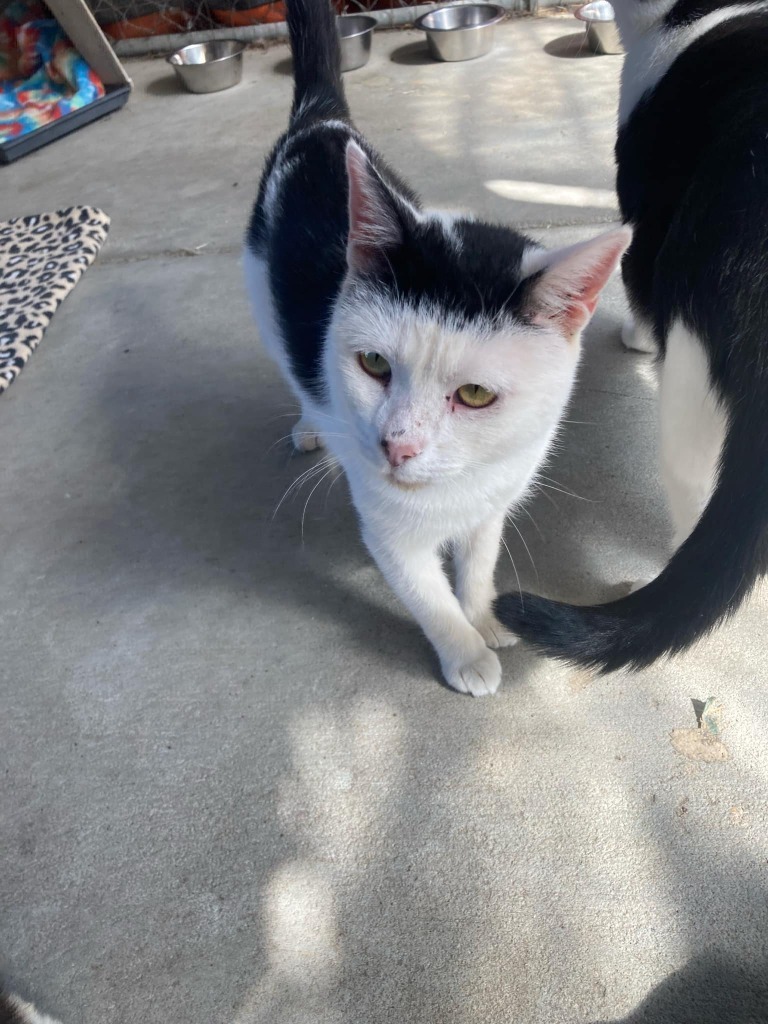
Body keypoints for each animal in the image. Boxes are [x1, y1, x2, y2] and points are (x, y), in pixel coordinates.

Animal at [246, 0, 630, 696]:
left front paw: (485, 617)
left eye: (475, 395)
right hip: (262, 298)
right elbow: (426, 594)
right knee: (294, 369)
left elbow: (477, 564)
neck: (456, 483)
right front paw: (465, 653)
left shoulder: (494, 500)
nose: (396, 447)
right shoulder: (388, 528)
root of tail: (321, 121)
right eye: (373, 364)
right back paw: (313, 425)